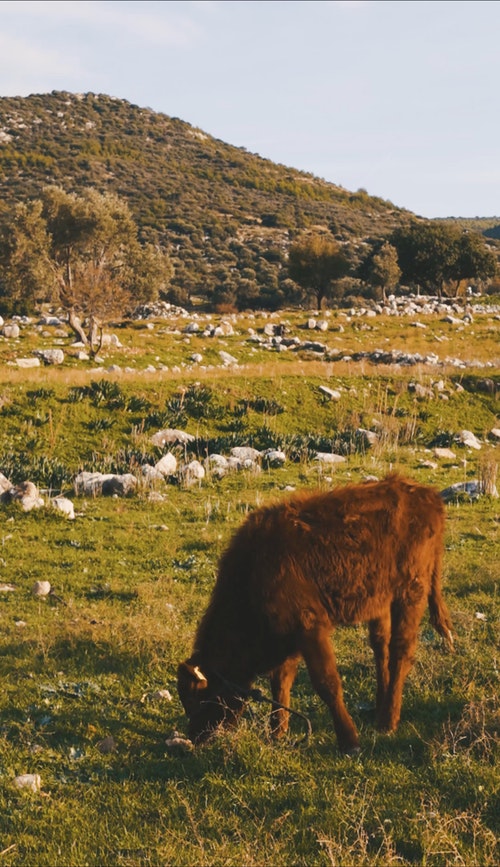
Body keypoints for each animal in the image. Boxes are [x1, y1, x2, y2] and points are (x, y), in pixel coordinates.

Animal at [178, 474, 456, 752]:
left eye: (200, 699)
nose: (195, 736)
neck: (253, 571)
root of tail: (427, 495)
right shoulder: (289, 635)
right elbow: (281, 681)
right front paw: (277, 732)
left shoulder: (309, 627)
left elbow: (327, 683)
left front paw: (349, 741)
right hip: (381, 601)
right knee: (381, 647)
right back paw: (380, 710)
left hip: (410, 593)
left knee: (401, 651)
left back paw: (388, 720)